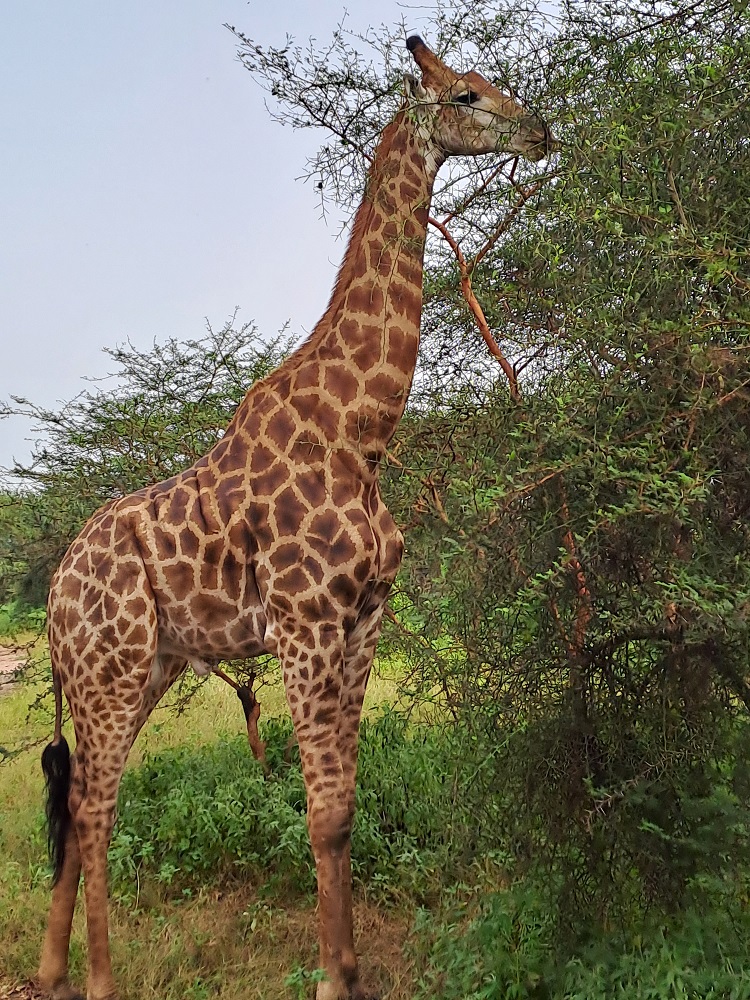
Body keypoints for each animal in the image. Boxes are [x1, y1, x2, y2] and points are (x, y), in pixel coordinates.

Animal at [36, 35, 552, 1000]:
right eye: (467, 94)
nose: (540, 129)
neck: (360, 432)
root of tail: (50, 596)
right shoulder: (306, 625)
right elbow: (316, 814)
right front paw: (327, 980)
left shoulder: (364, 620)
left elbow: (343, 810)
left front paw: (349, 968)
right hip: (109, 671)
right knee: (95, 807)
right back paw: (99, 980)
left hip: (144, 667)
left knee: (81, 796)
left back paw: (51, 971)